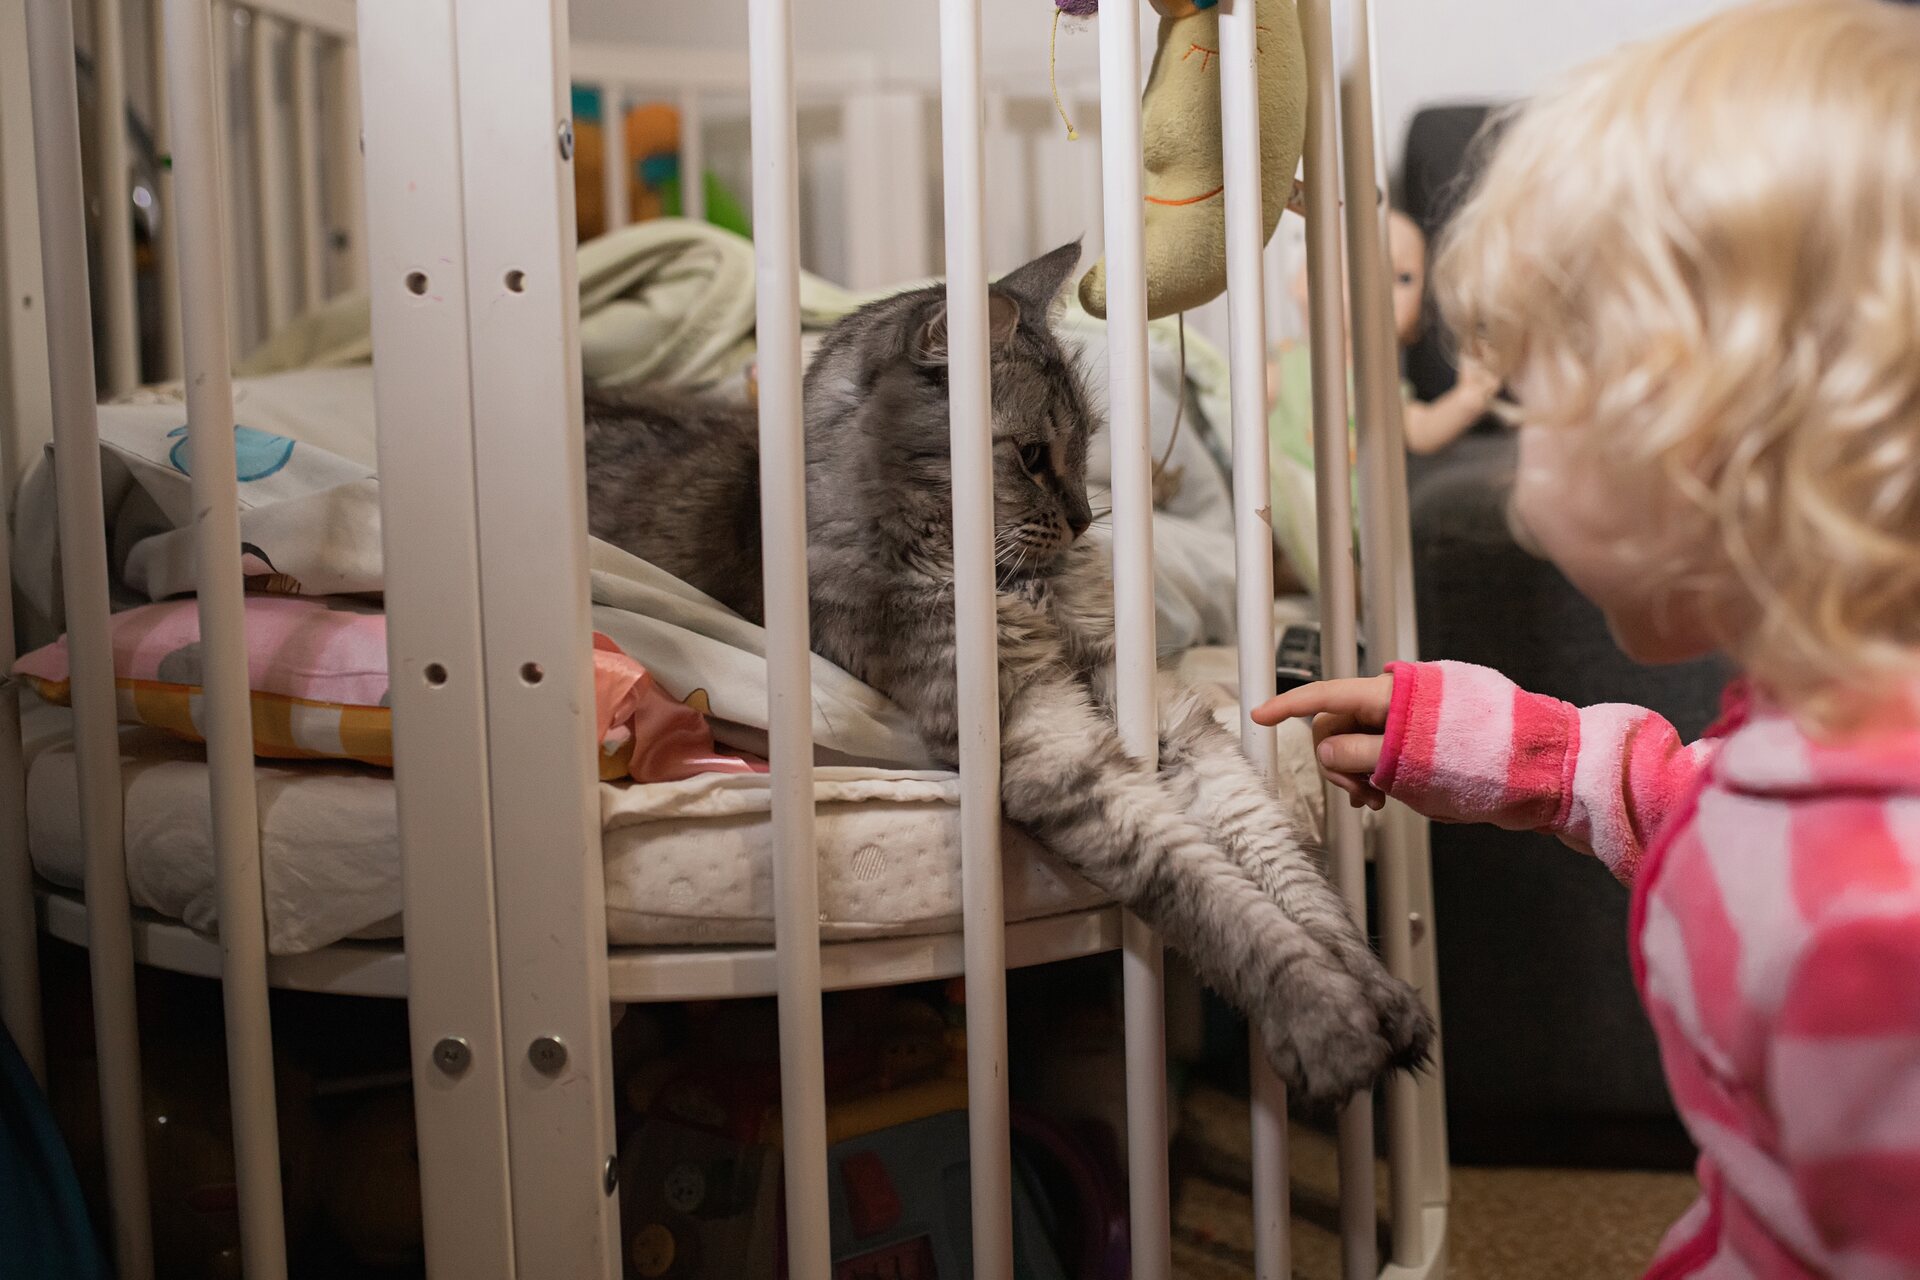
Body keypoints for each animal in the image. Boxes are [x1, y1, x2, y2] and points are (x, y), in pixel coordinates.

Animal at [591, 245, 1436, 1105]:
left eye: (1085, 446)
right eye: (1030, 457)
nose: (1084, 520)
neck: (1020, 588)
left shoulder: (1165, 720)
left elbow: (1287, 871)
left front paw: (1380, 996)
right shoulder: (1051, 744)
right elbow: (1218, 896)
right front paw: (1325, 1020)